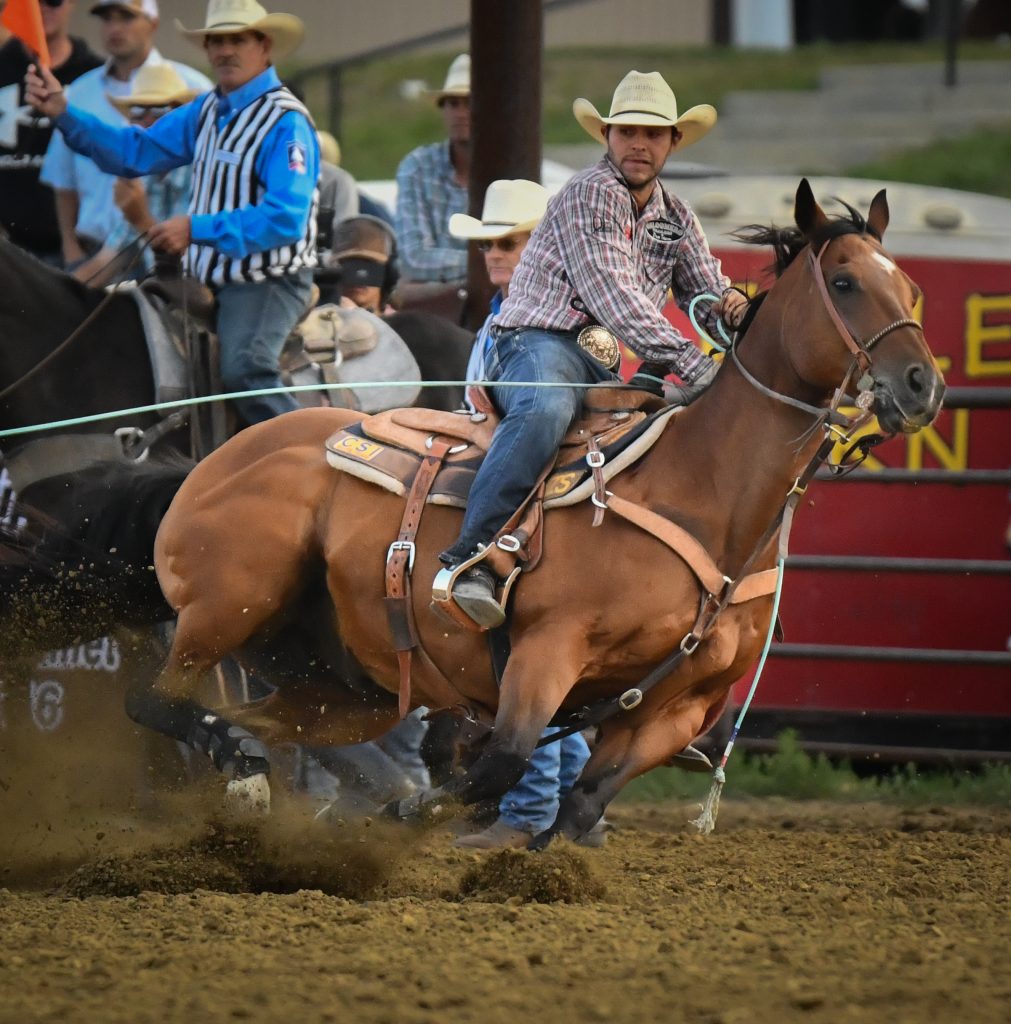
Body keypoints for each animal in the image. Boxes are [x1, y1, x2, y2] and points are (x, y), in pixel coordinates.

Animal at [12, 182, 947, 843]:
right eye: (842, 281)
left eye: (907, 285)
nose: (920, 386)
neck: (703, 500)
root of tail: (207, 461)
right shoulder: (544, 652)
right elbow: (497, 765)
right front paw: (413, 821)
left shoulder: (679, 706)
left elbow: (581, 804)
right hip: (228, 602)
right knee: (156, 699)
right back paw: (249, 783)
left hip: (338, 681)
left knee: (252, 720)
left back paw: (250, 792)